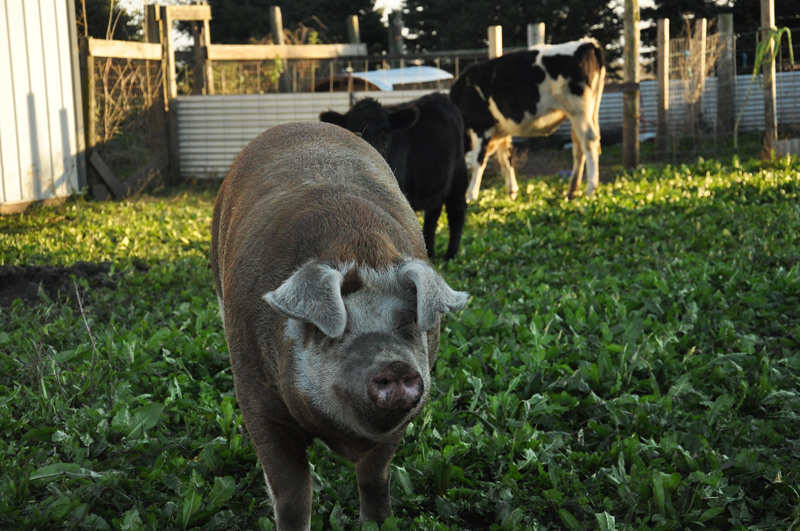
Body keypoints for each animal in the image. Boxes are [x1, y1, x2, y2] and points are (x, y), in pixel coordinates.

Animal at [210, 121, 468, 529]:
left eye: (409, 323)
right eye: (338, 331)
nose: (394, 364)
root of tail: (298, 124)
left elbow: (375, 477)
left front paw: (377, 522)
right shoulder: (256, 396)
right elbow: (292, 492)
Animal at [320, 92, 468, 260]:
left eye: (385, 132)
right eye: (351, 130)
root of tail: (439, 95)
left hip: (459, 174)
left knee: (457, 211)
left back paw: (451, 255)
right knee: (433, 213)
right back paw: (430, 252)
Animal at [450, 38, 606, 201]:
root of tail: (588, 43)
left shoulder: (481, 127)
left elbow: (478, 161)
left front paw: (471, 195)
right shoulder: (501, 130)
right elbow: (506, 158)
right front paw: (511, 191)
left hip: (579, 111)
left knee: (589, 142)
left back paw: (590, 189)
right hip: (584, 113)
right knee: (578, 147)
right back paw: (572, 191)